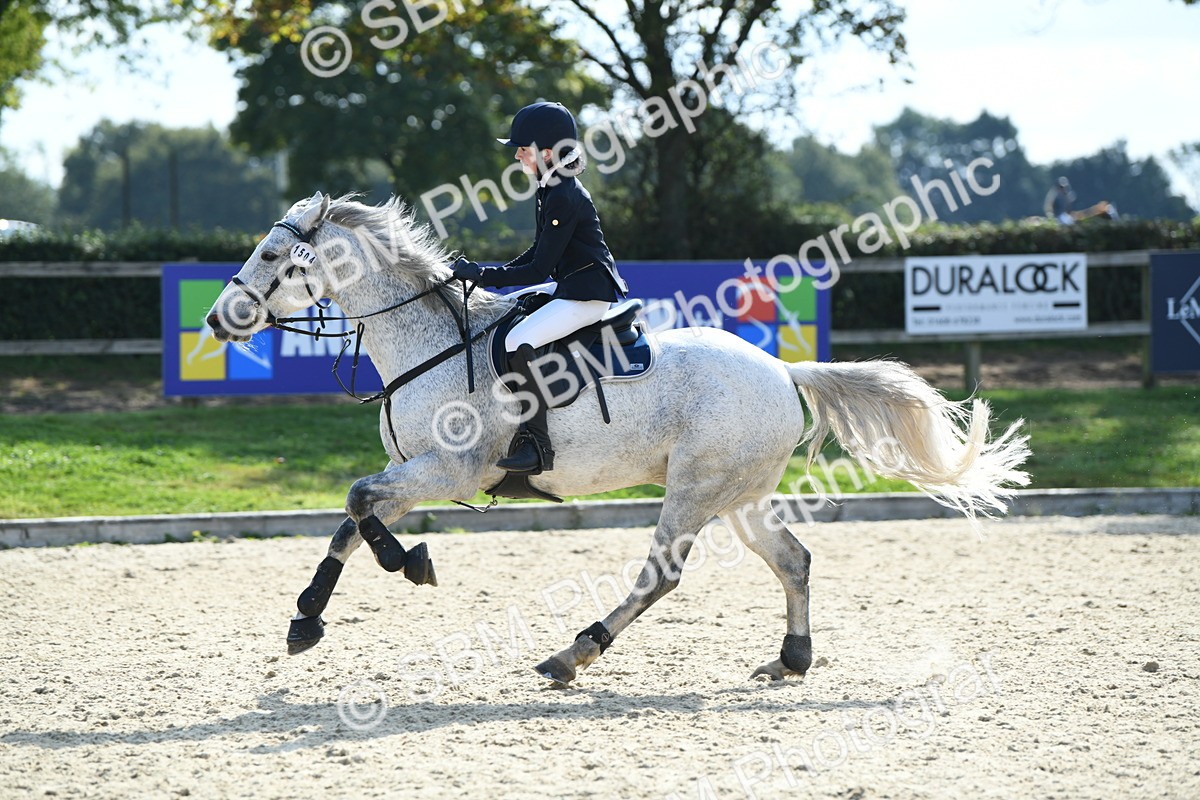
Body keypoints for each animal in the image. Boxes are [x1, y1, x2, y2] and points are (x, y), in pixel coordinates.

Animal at [206, 191, 1030, 685]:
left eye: (273, 257)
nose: (217, 320)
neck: (430, 342)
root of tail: (782, 369)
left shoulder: (453, 470)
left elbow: (358, 505)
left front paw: (410, 564)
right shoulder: (416, 467)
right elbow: (351, 518)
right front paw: (306, 618)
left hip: (694, 488)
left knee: (661, 575)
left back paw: (573, 653)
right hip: (739, 493)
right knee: (793, 561)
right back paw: (791, 660)